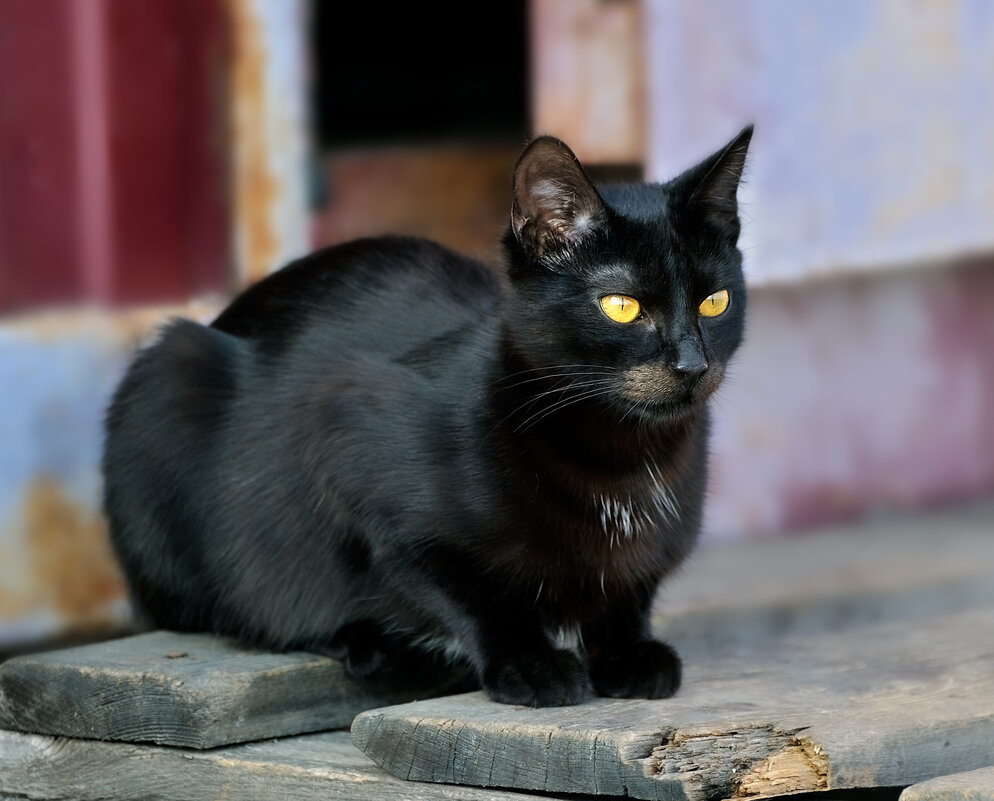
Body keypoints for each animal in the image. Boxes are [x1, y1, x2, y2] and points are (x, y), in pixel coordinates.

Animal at [102, 130, 752, 708]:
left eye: (715, 302)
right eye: (621, 307)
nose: (692, 364)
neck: (624, 457)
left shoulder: (651, 552)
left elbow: (629, 589)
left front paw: (628, 652)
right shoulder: (346, 445)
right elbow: (465, 589)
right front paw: (529, 662)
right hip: (169, 375)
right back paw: (366, 644)